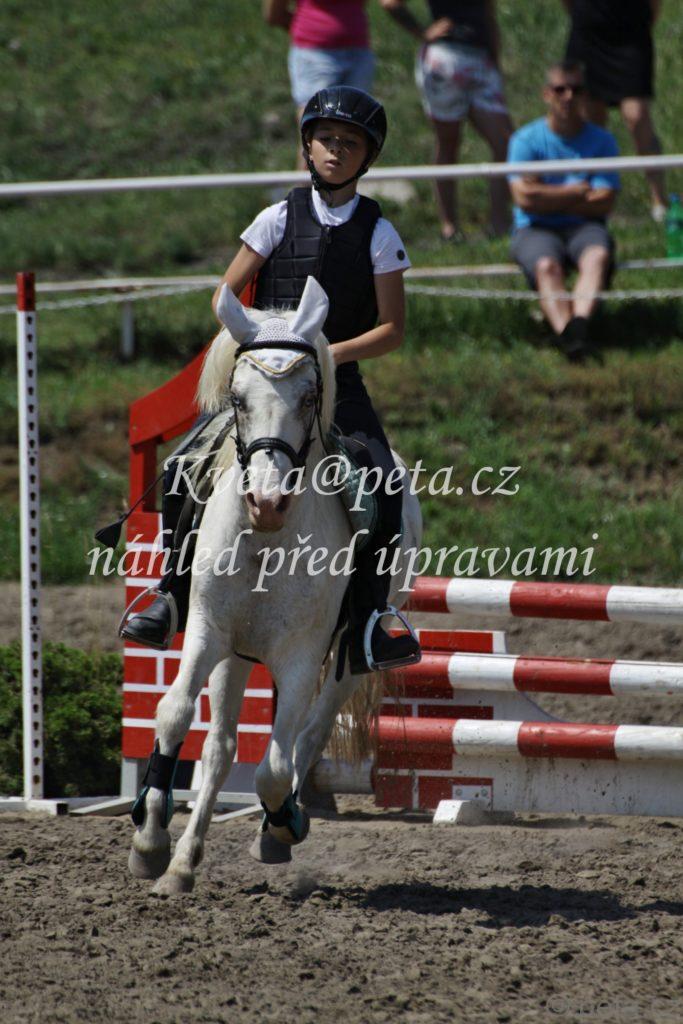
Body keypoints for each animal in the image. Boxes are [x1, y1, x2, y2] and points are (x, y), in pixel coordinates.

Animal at [128, 277, 422, 893]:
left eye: (309, 398)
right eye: (238, 400)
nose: (266, 502)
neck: (266, 541)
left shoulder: (302, 655)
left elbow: (276, 767)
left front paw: (283, 823)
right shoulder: (207, 632)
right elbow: (174, 714)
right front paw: (150, 839)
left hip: (344, 658)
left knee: (307, 735)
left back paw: (275, 828)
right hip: (237, 653)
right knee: (220, 749)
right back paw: (183, 861)